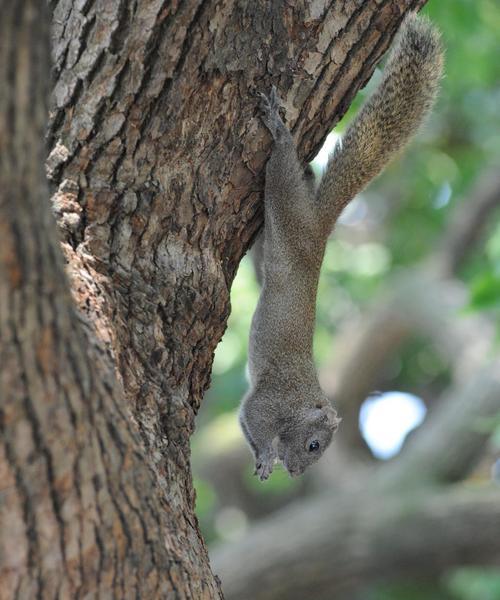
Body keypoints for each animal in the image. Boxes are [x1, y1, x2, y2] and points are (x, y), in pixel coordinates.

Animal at [240, 11, 444, 480]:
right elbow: (252, 420)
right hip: (287, 207)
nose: (298, 473)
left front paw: (266, 459)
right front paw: (266, 457)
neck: (300, 403)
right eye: (314, 444)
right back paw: (280, 131)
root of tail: (320, 226)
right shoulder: (268, 402)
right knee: (281, 168)